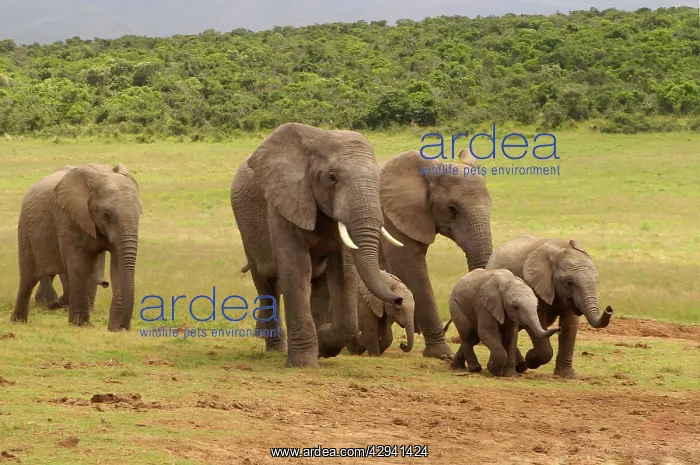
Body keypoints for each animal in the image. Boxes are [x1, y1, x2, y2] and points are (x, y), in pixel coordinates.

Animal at [11, 163, 142, 330]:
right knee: (29, 277)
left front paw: (115, 330)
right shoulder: (67, 217)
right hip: (25, 229)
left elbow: (118, 264)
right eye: (106, 215)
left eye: (140, 213)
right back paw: (19, 321)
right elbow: (78, 264)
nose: (124, 326)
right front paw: (81, 325)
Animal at [230, 122, 405, 368]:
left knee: (320, 286)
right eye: (332, 178)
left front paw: (323, 347)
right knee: (266, 283)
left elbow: (345, 272)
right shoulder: (284, 200)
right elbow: (296, 268)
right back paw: (276, 350)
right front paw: (303, 364)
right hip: (247, 231)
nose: (398, 300)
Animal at [485, 235, 614, 378]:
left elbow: (570, 325)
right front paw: (531, 359)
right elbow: (538, 322)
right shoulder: (533, 283)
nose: (609, 309)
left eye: (596, 282)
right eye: (570, 283)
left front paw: (567, 376)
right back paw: (520, 366)